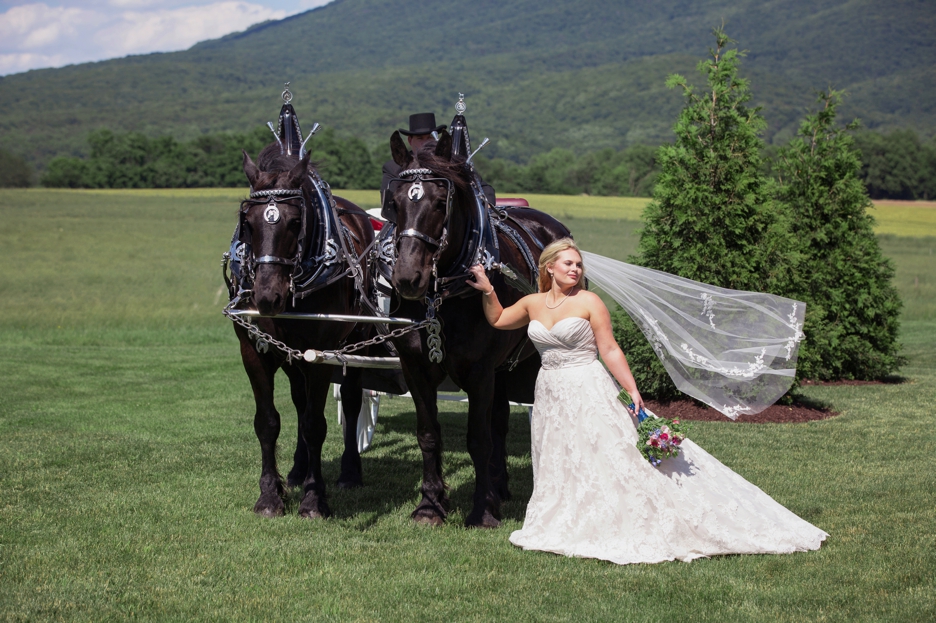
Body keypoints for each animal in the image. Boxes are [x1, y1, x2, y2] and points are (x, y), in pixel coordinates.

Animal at [227, 144, 376, 520]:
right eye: (247, 222)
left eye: (295, 221)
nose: (267, 296)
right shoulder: (254, 351)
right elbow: (268, 422)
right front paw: (270, 495)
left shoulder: (321, 355)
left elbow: (314, 424)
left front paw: (313, 499)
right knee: (298, 400)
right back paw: (297, 469)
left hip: (358, 341)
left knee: (351, 400)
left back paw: (349, 472)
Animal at [386, 129, 572, 528]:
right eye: (393, 202)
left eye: (440, 202)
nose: (408, 278)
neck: (445, 300)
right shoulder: (416, 368)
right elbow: (429, 434)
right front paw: (430, 505)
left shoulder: (480, 371)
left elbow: (478, 438)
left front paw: (482, 510)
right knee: (499, 420)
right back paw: (498, 487)